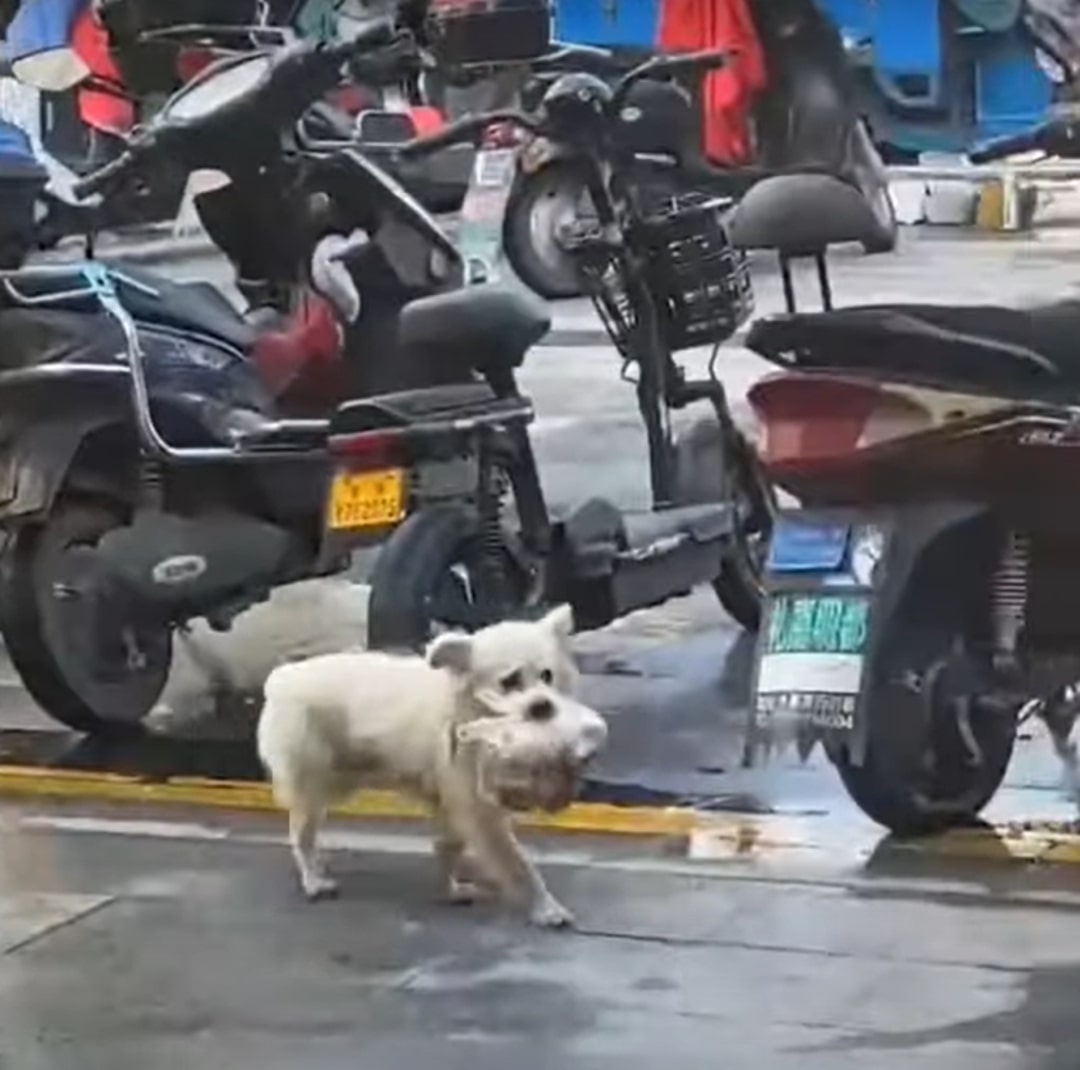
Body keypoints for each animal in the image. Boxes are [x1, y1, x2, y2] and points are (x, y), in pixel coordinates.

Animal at [254, 608, 609, 928]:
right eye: (509, 682)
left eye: (547, 676)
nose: (542, 706)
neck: (475, 717)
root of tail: (280, 678)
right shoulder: (474, 803)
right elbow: (517, 862)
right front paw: (545, 907)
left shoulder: (451, 798)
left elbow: (449, 845)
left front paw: (450, 888)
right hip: (315, 778)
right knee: (301, 832)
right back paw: (313, 880)